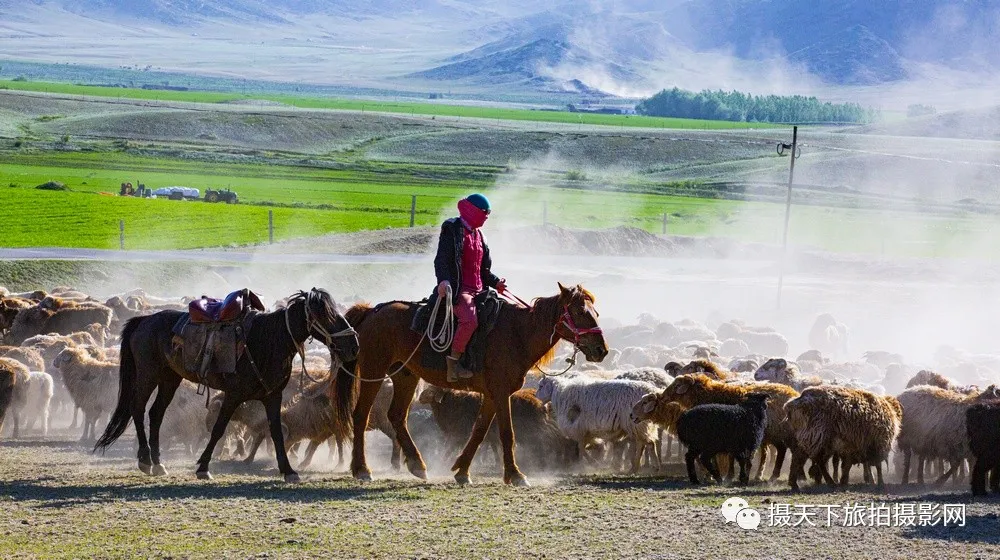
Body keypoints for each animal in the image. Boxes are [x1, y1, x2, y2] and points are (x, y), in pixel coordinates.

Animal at [94, 288, 360, 482]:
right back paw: (145, 461)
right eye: (325, 314)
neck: (268, 342)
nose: (353, 345)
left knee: (156, 414)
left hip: (170, 378)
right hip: (148, 375)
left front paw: (288, 471)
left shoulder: (273, 396)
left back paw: (158, 463)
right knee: (138, 409)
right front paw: (203, 466)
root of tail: (143, 320)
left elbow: (275, 432)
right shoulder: (233, 395)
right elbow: (219, 428)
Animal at [332, 282, 604, 488]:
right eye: (581, 311)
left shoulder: (492, 395)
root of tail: (371, 311)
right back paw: (362, 469)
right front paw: (515, 475)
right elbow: (507, 433)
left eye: (595, 312)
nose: (601, 349)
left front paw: (462, 471)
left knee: (397, 415)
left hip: (405, 376)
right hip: (374, 371)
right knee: (361, 415)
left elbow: (480, 431)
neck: (517, 334)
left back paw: (417, 465)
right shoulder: (501, 392)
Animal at [656, 374, 796, 480]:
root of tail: (792, 393)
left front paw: (725, 475)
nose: (662, 396)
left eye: (677, 385)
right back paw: (765, 475)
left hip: (777, 432)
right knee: (778, 450)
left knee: (781, 449)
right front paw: (726, 474)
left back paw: (773, 476)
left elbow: (726, 457)